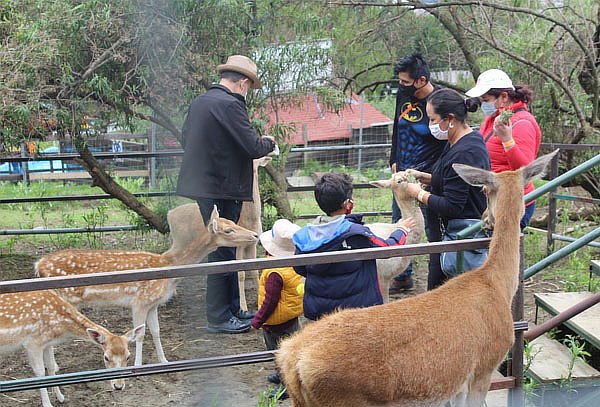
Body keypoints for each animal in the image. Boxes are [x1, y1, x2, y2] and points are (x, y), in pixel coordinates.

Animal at [0, 290, 144, 407]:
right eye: (106, 357)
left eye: (128, 356)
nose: (118, 386)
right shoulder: (32, 343)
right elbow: (40, 374)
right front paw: (48, 404)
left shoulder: (46, 343)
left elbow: (51, 367)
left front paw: (61, 398)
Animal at [34, 207, 256, 366]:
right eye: (228, 230)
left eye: (232, 221)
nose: (254, 235)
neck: (168, 268)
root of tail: (38, 265)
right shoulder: (139, 301)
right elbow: (139, 334)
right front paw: (138, 365)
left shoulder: (153, 303)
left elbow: (156, 331)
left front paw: (164, 360)